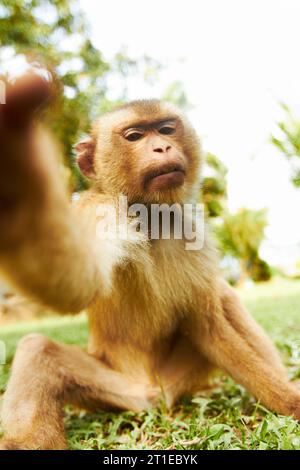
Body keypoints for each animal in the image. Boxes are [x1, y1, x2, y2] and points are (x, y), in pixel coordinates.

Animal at [0, 74, 298, 452]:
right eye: (134, 137)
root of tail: (155, 394)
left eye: (166, 129)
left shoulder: (194, 233)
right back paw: (27, 442)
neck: (152, 217)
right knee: (38, 348)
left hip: (176, 378)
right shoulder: (100, 211)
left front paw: (289, 401)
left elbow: (209, 325)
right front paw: (16, 183)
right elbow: (76, 283)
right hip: (116, 391)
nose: (162, 148)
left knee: (224, 297)